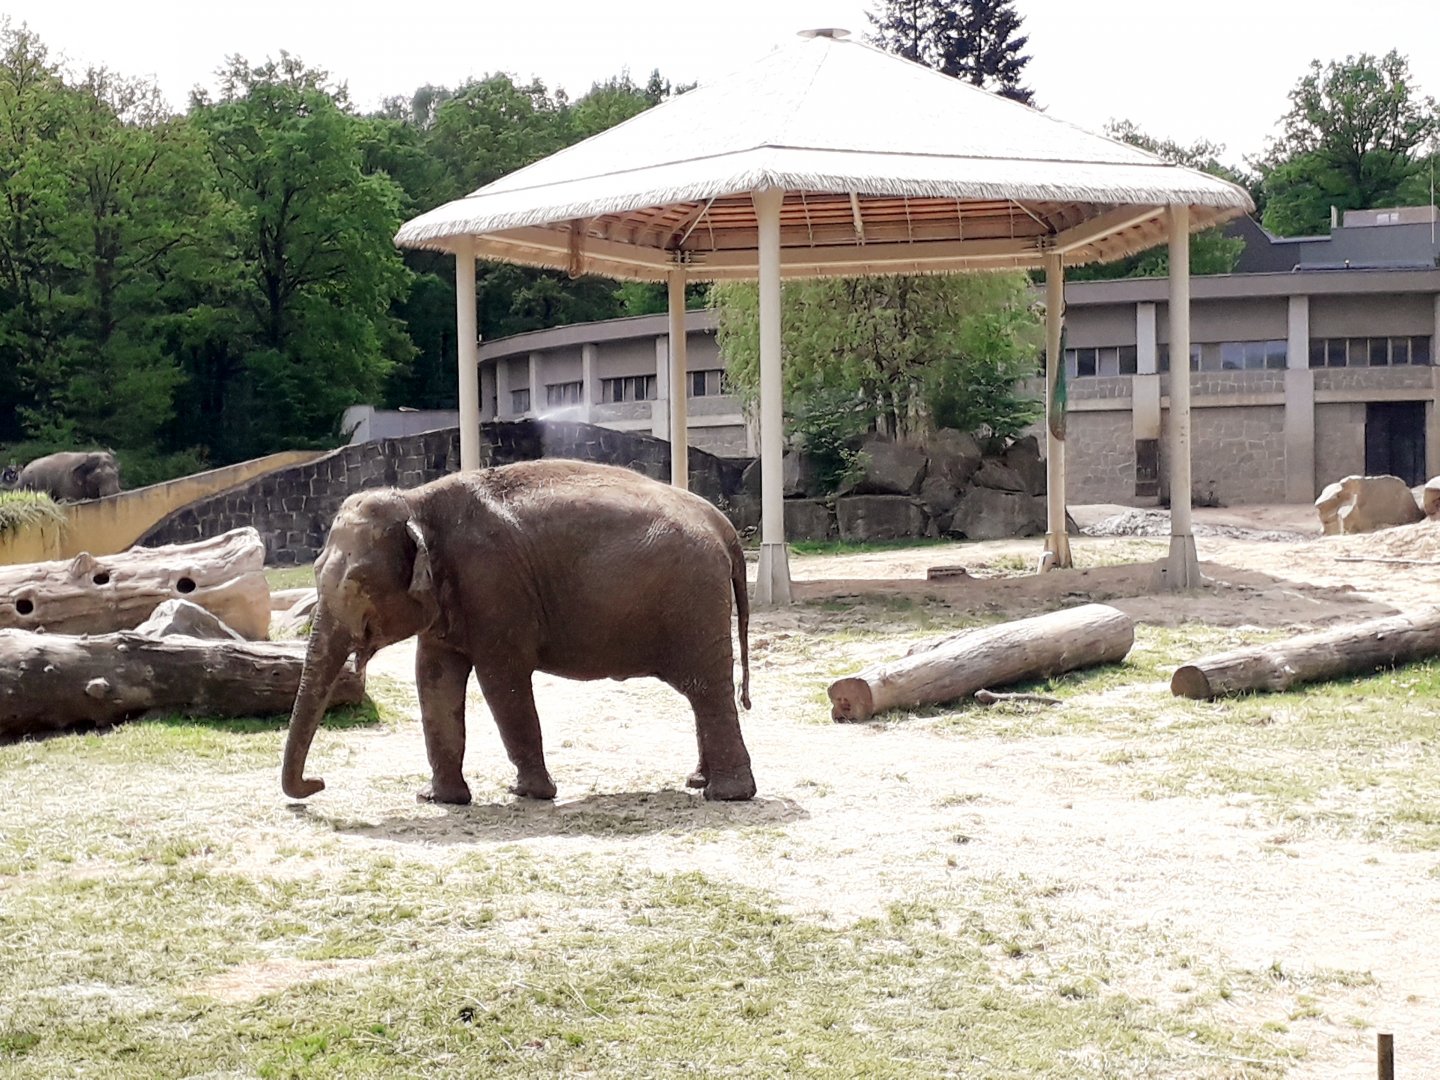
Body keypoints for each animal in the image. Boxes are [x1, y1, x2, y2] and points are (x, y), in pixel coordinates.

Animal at [282, 458, 756, 805]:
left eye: (357, 582)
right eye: (317, 570)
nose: (318, 784)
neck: (417, 501)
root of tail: (722, 525)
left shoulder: (492, 585)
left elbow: (501, 681)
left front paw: (528, 794)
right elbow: (433, 679)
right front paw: (441, 800)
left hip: (694, 601)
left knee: (707, 687)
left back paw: (727, 795)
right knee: (700, 693)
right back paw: (698, 782)